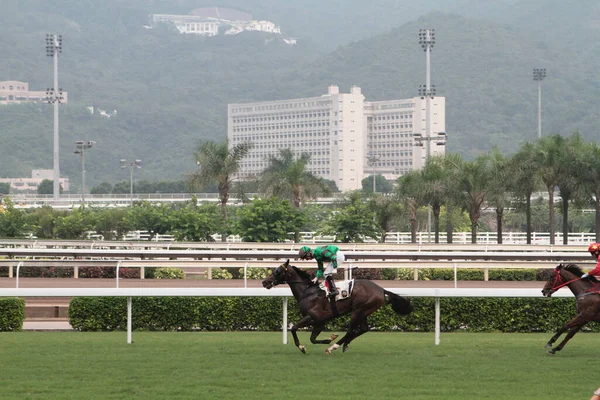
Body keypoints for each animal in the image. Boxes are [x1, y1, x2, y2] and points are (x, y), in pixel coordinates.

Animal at [262, 260, 412, 354]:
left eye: (277, 272)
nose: (265, 282)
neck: (307, 292)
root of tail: (381, 289)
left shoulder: (312, 317)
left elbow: (293, 328)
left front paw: (302, 347)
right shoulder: (320, 322)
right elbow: (313, 339)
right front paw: (329, 338)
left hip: (358, 311)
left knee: (351, 330)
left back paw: (334, 347)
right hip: (363, 312)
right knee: (363, 329)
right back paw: (344, 344)